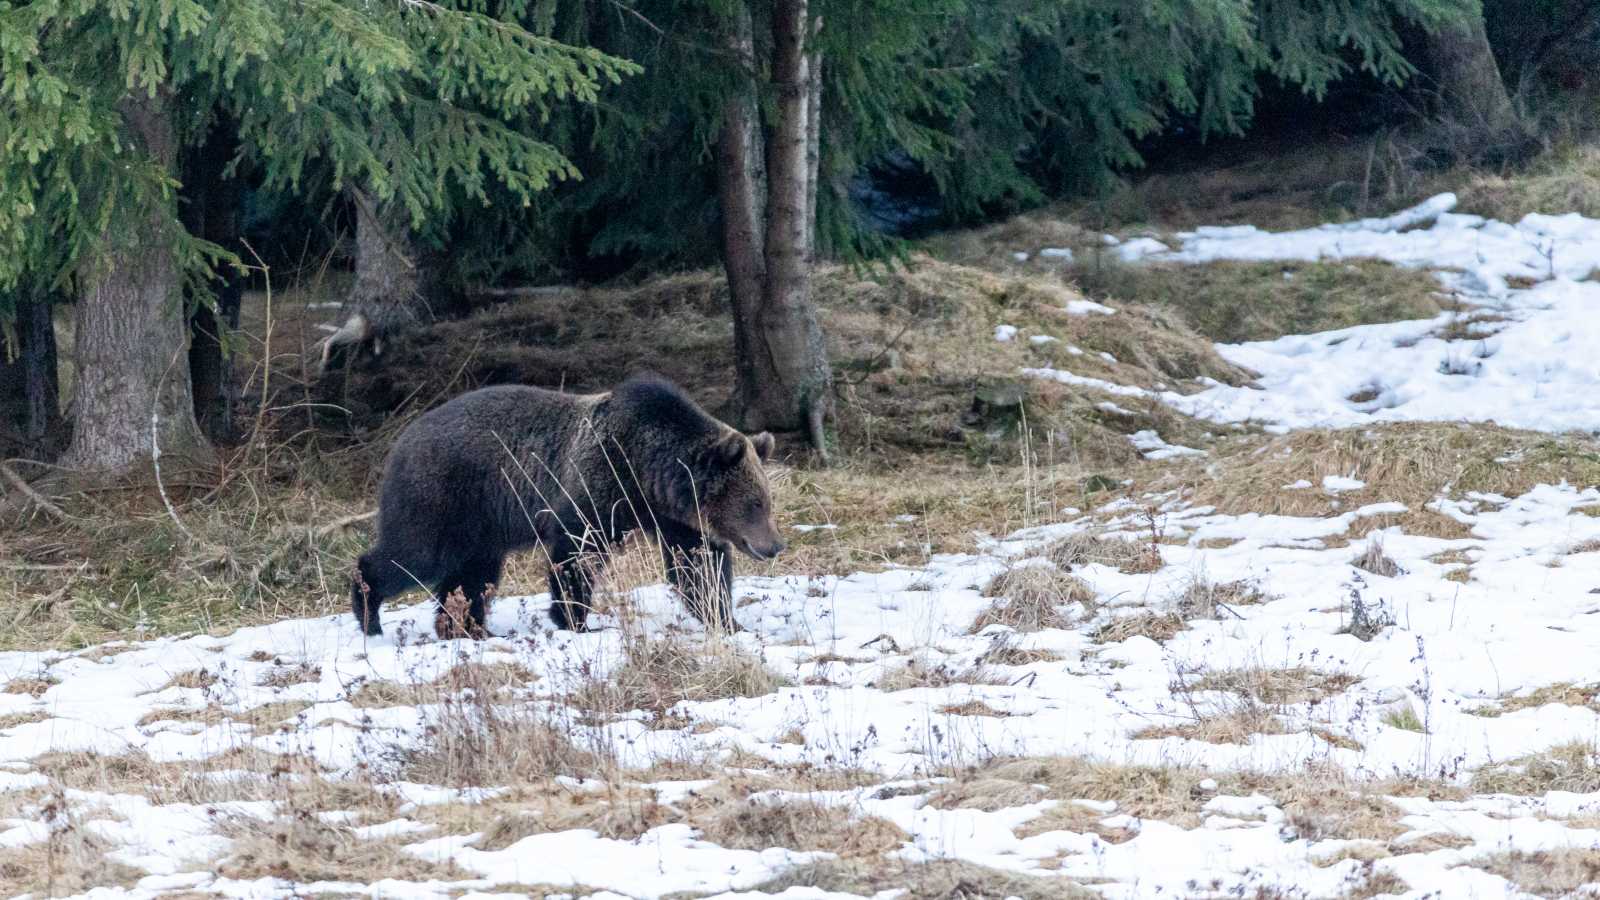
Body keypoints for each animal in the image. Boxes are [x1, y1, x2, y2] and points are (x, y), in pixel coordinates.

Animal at [348, 374, 780, 634]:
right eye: (754, 503)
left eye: (766, 501)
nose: (775, 546)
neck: (647, 472)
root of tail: (401, 440)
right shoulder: (597, 485)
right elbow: (576, 554)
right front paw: (575, 620)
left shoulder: (673, 517)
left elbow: (697, 566)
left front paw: (726, 619)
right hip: (442, 496)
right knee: (413, 555)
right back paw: (370, 614)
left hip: (481, 524)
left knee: (472, 574)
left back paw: (466, 627)